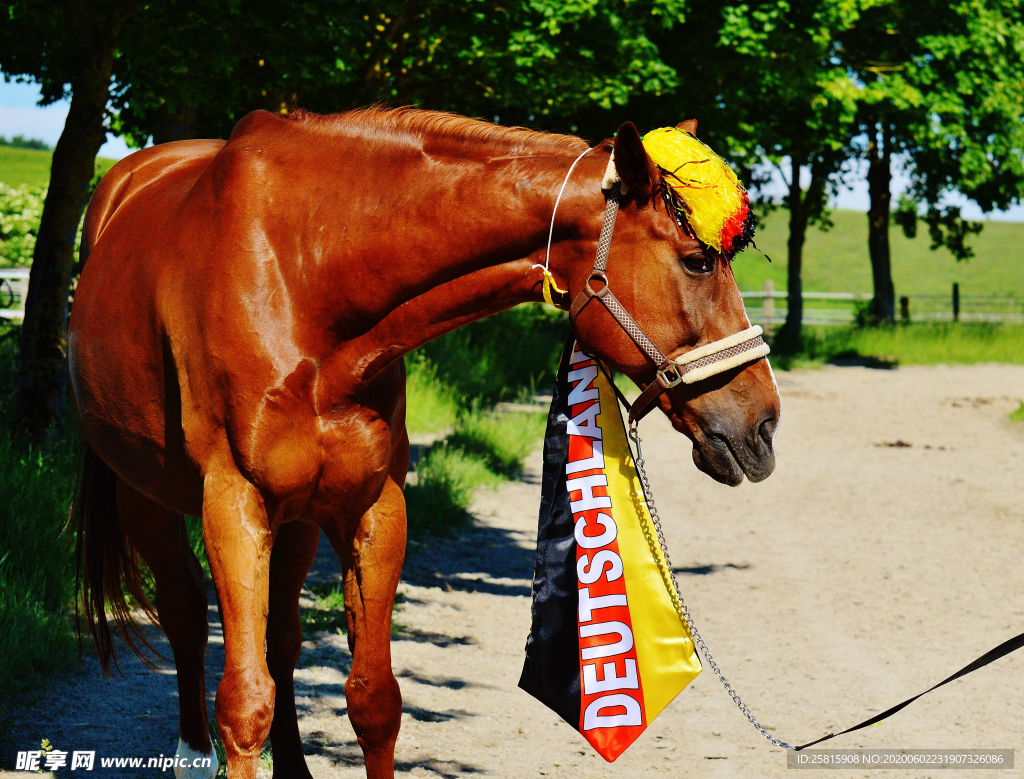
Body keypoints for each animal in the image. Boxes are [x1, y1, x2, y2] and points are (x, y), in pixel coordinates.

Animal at [68, 106, 778, 773]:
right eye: (696, 261)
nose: (763, 423)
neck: (305, 276)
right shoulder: (233, 506)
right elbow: (244, 705)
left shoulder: (373, 507)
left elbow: (374, 701)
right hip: (147, 498)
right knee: (187, 618)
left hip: (295, 520)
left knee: (282, 638)